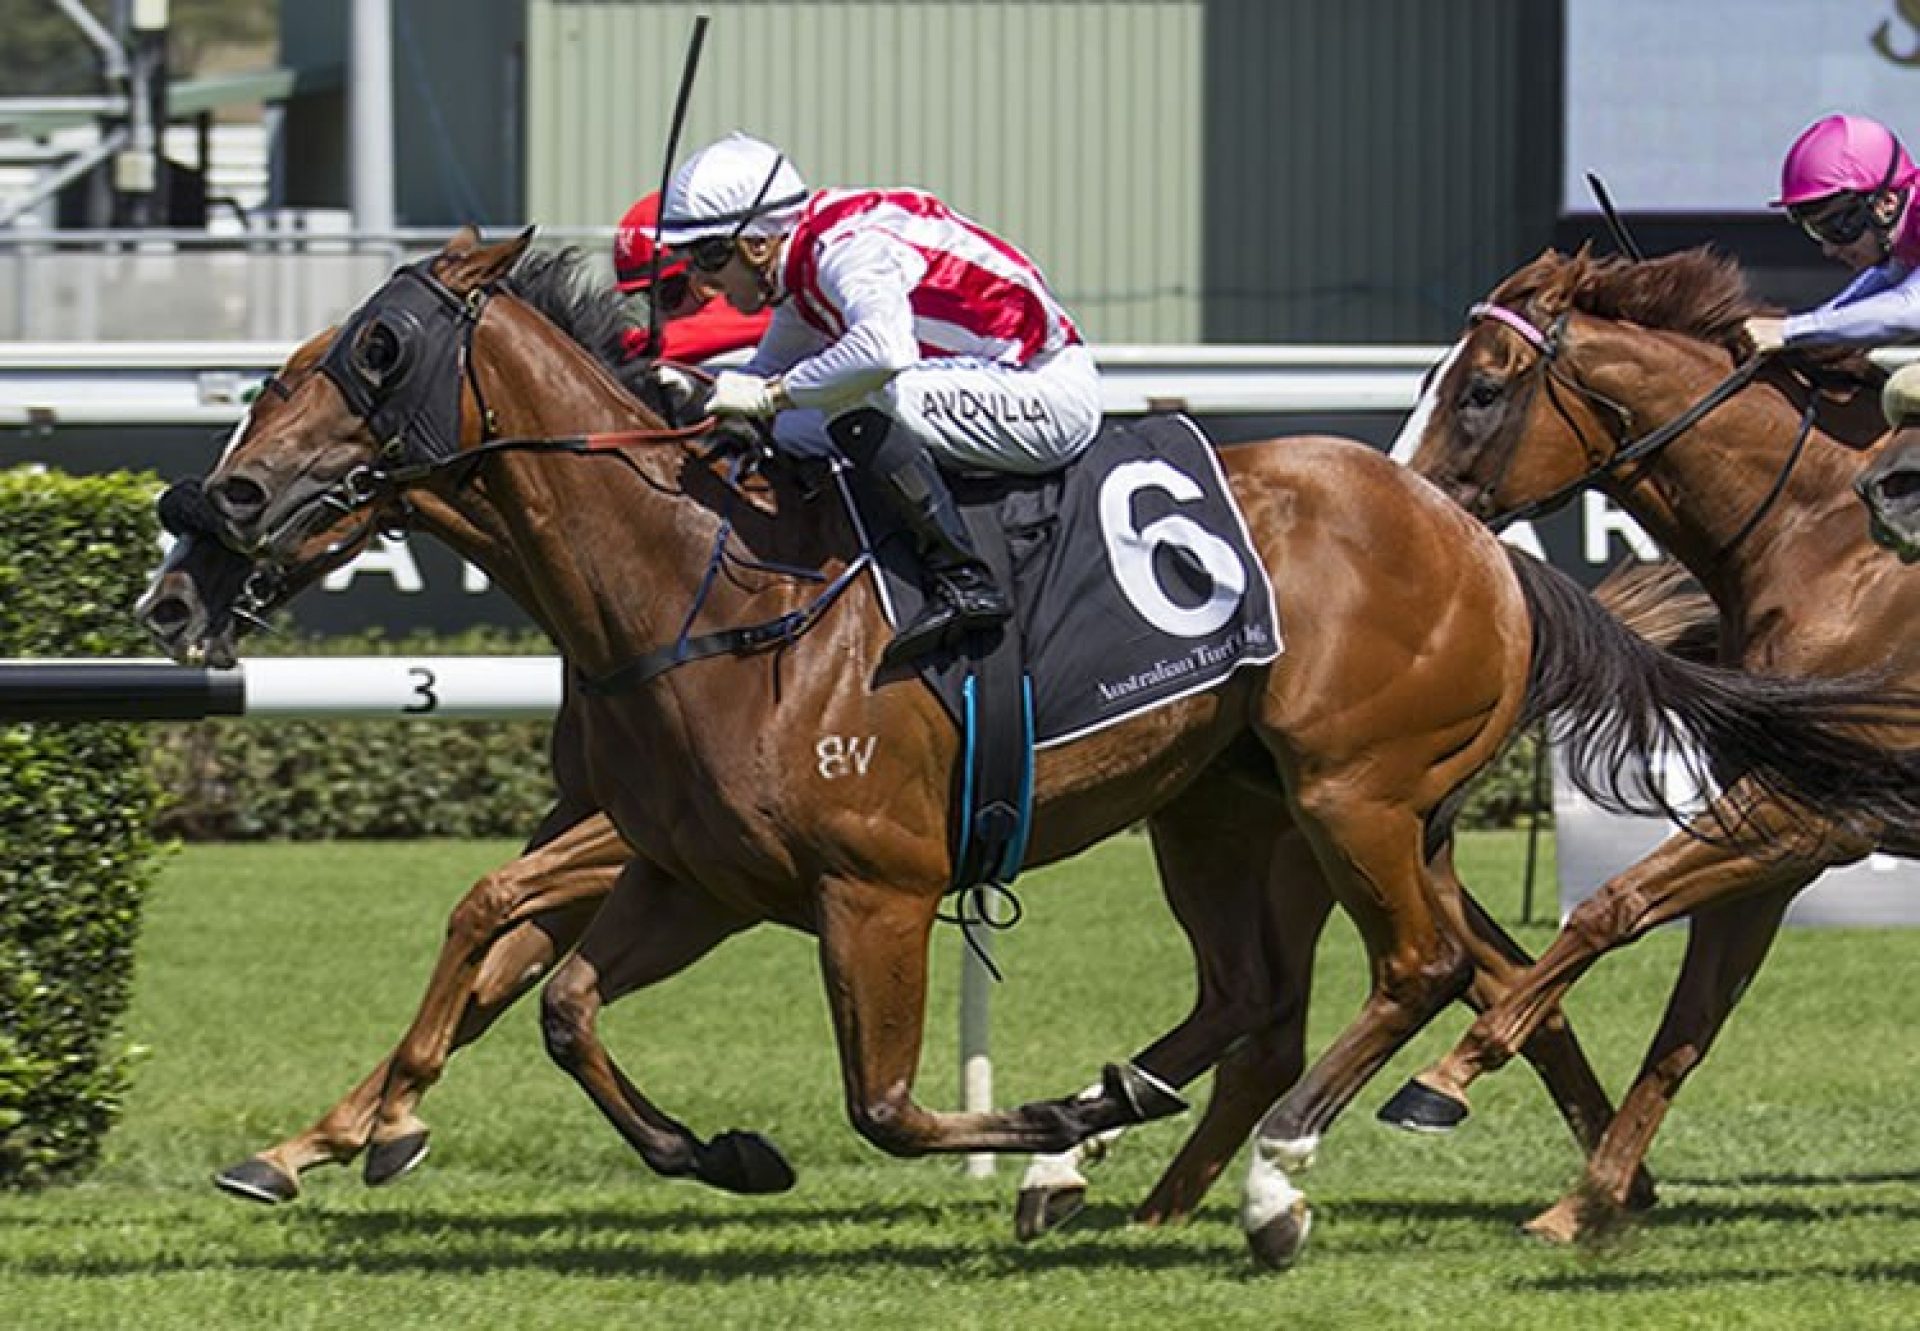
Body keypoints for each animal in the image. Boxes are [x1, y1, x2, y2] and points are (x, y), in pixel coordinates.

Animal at [145, 231, 1920, 1267]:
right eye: (279, 372)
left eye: (363, 358)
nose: (217, 505)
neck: (699, 584)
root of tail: (1482, 543)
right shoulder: (697, 869)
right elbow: (558, 992)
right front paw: (701, 1147)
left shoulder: (868, 883)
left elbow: (882, 1102)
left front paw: (1046, 1135)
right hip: (1233, 808)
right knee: (1282, 994)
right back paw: (1190, 1153)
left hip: (1356, 789)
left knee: (1417, 966)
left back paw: (1282, 1171)